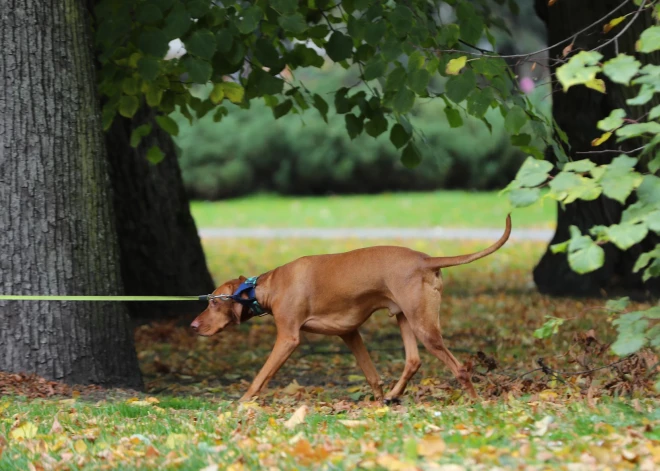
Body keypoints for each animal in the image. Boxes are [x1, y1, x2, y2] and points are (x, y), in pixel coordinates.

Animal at [191, 216, 510, 400]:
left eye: (213, 302)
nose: (193, 326)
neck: (268, 286)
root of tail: (425, 259)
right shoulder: (349, 333)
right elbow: (371, 374)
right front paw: (376, 401)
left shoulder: (288, 338)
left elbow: (261, 376)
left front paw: (243, 403)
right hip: (404, 317)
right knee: (413, 360)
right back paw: (392, 396)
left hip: (424, 326)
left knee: (460, 369)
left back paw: (475, 403)